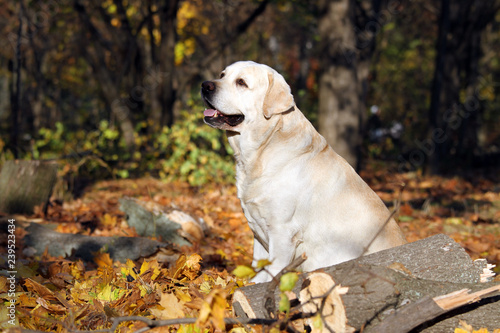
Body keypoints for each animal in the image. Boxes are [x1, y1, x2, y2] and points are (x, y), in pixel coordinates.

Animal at [200, 61, 406, 282]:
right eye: (222, 74)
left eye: (241, 82)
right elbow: (258, 268)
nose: (205, 85)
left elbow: (273, 270)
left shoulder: (282, 231)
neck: (266, 145)